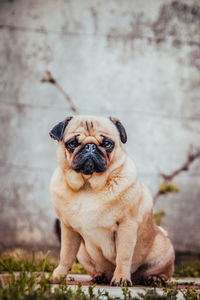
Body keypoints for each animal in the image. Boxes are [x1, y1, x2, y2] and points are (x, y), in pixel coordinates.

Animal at [49, 115, 174, 286]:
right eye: (72, 143)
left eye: (107, 144)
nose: (90, 146)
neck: (88, 186)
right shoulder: (68, 229)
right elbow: (66, 254)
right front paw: (59, 275)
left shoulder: (126, 226)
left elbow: (124, 255)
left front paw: (121, 278)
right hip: (82, 253)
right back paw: (99, 276)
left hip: (164, 251)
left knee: (164, 273)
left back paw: (154, 279)